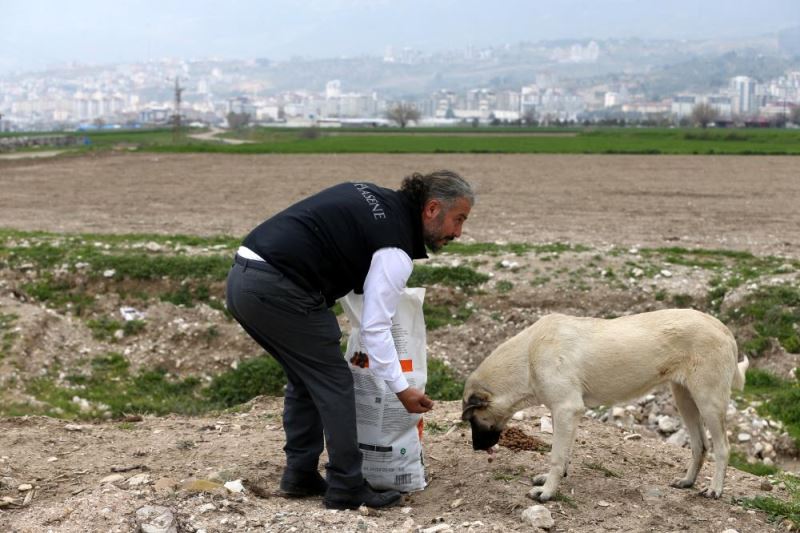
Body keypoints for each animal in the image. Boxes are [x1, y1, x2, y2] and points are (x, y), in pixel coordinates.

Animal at [462, 310, 752, 500]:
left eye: (472, 419)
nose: (475, 448)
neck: (529, 356)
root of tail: (723, 328)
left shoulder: (566, 409)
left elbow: (556, 455)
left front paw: (547, 492)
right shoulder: (565, 413)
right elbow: (564, 452)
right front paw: (553, 479)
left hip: (708, 401)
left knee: (722, 448)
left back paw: (715, 489)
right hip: (685, 400)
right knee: (700, 445)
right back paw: (688, 481)